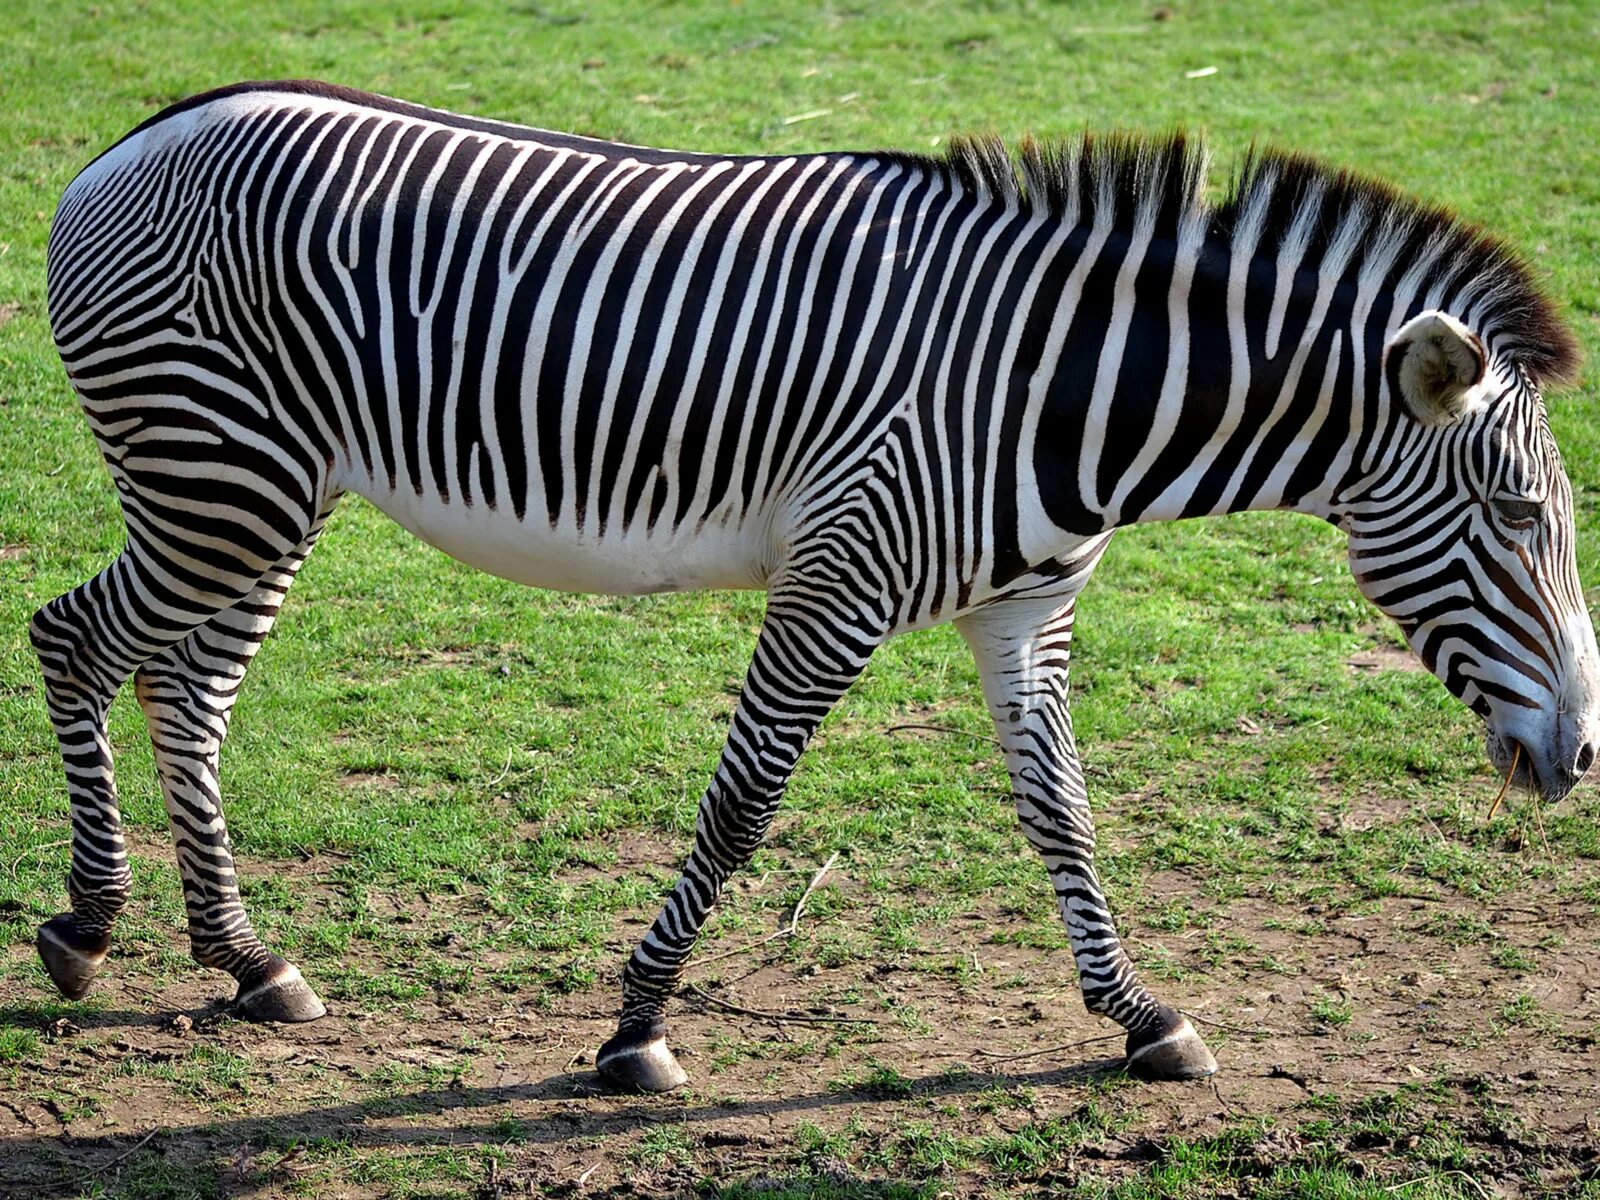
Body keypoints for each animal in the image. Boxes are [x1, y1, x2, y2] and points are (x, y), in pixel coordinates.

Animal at [37, 82, 1600, 1100]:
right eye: (1521, 514)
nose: (1581, 758)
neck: (1067, 397)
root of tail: (128, 146)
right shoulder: (836, 582)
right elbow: (743, 806)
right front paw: (637, 1027)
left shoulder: (1027, 608)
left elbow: (1064, 812)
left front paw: (1139, 1016)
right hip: (218, 473)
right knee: (76, 637)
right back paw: (88, 927)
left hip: (269, 489)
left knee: (186, 686)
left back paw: (245, 960)